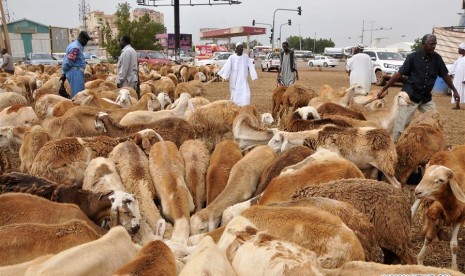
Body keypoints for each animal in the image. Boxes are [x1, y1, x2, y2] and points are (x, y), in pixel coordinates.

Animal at [268, 126, 402, 188]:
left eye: (276, 141)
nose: (267, 148)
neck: (315, 138)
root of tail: (388, 138)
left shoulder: (326, 153)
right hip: (373, 166)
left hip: (386, 164)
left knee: (397, 184)